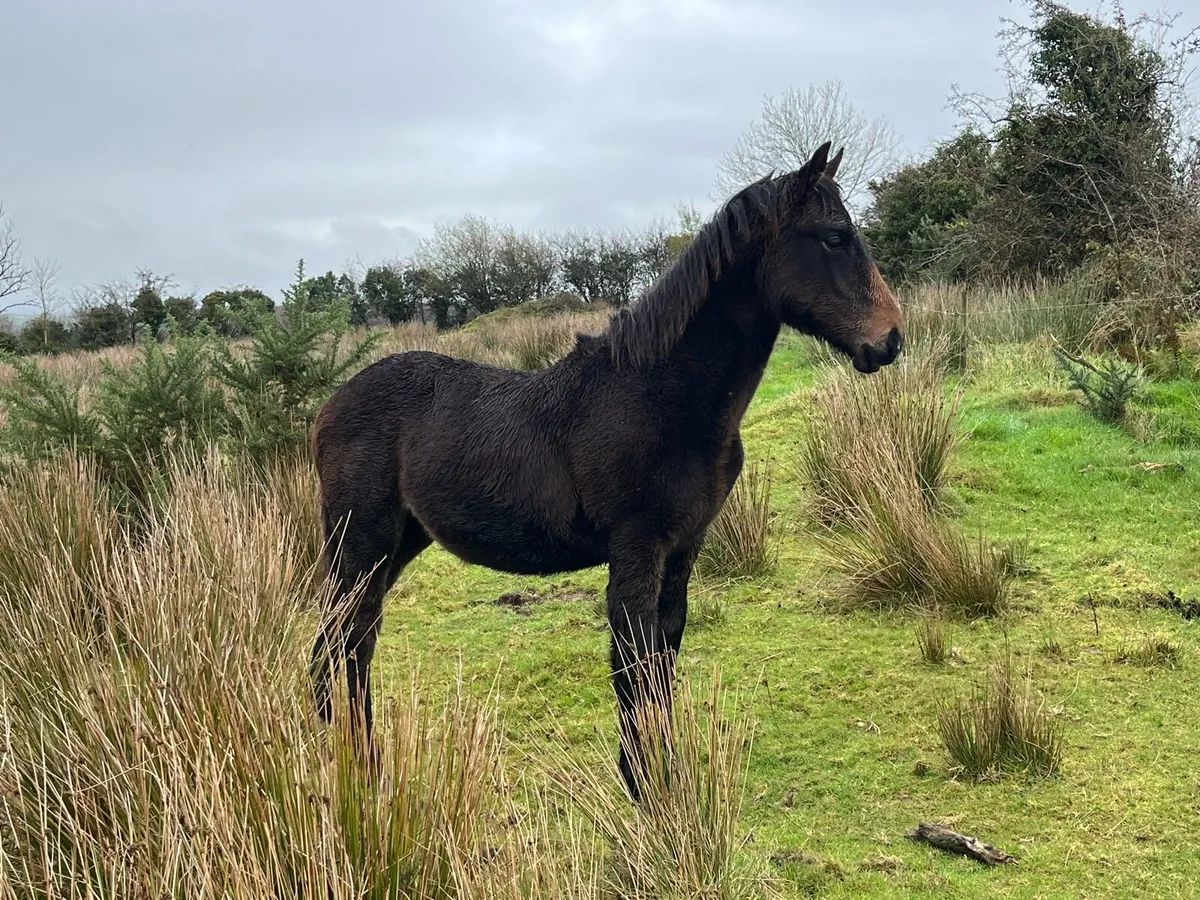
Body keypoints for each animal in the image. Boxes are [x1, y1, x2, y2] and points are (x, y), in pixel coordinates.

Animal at [309, 141, 905, 799]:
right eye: (834, 237)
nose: (890, 339)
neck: (661, 395)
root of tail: (329, 406)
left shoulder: (683, 547)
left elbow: (663, 656)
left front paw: (667, 775)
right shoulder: (636, 545)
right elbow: (633, 663)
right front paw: (644, 785)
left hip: (399, 541)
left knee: (345, 645)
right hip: (360, 541)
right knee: (345, 641)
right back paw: (358, 770)